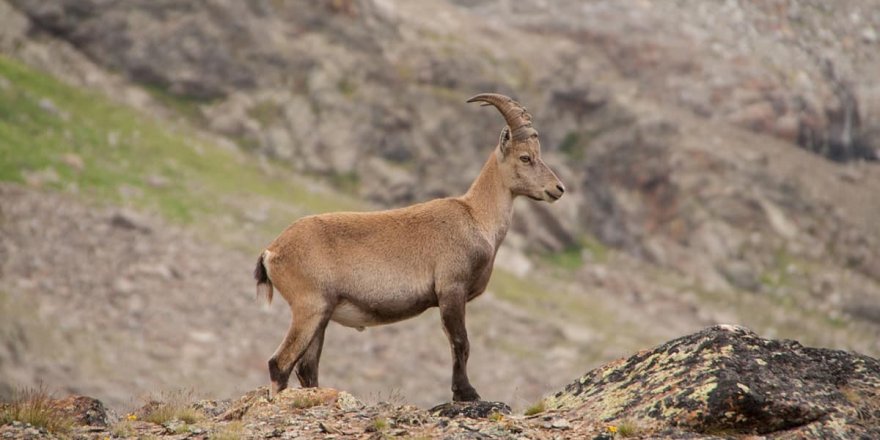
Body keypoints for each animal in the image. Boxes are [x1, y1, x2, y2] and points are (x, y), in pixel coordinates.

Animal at [253, 93, 564, 402]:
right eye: (525, 157)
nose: (558, 188)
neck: (476, 216)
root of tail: (272, 251)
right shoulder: (451, 288)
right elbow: (460, 342)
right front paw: (466, 393)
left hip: (321, 314)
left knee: (307, 368)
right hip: (310, 306)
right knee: (279, 363)